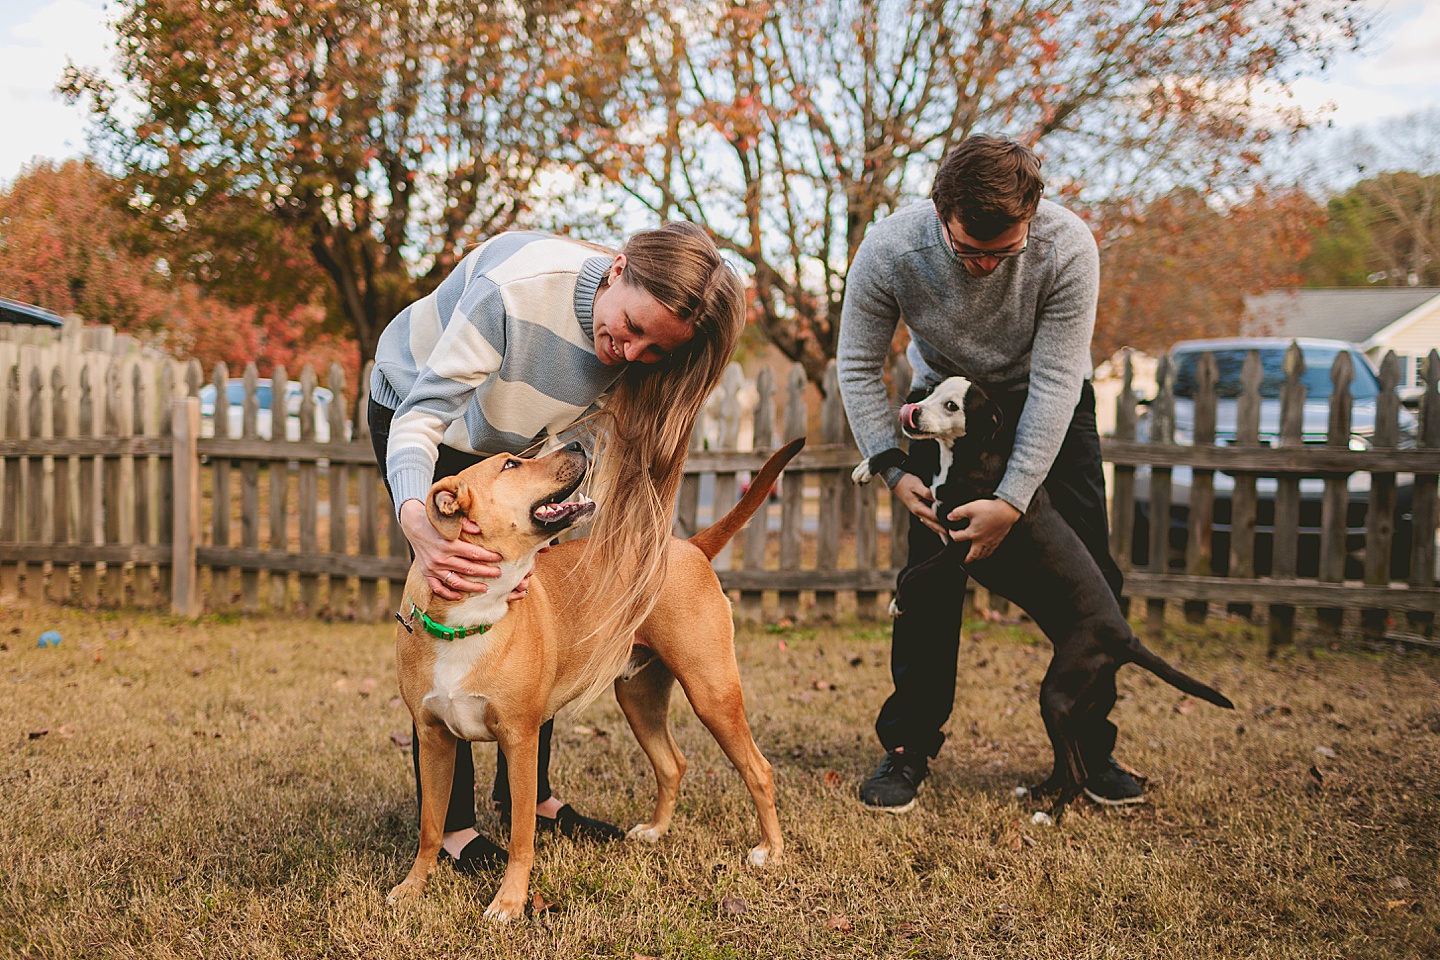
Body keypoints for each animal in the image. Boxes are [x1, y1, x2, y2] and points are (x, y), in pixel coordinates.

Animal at [388, 440, 806, 921]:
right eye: (510, 463)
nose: (576, 443)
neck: (469, 616)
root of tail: (687, 546)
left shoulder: (520, 740)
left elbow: (521, 836)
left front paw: (509, 901)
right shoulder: (434, 740)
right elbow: (431, 827)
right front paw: (414, 887)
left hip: (712, 693)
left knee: (758, 769)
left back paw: (770, 850)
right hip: (639, 699)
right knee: (672, 764)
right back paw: (656, 831)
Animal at [852, 377, 1238, 817]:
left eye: (952, 406)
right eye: (932, 391)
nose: (913, 411)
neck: (974, 455)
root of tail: (1126, 635)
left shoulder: (963, 547)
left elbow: (912, 572)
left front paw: (899, 601)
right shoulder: (936, 497)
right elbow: (903, 457)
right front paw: (867, 466)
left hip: (1056, 695)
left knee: (1077, 768)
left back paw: (1051, 815)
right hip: (1073, 702)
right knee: (1067, 757)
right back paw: (1037, 792)